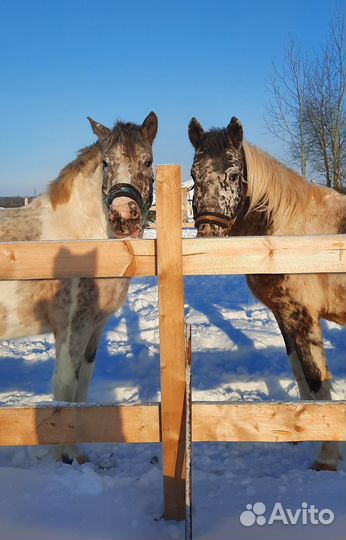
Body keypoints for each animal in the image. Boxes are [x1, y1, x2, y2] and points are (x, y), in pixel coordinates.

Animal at [0, 112, 158, 462]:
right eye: (107, 162)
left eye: (148, 161)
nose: (123, 217)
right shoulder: (72, 327)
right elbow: (65, 389)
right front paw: (67, 454)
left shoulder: (95, 327)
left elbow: (82, 389)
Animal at [189, 116, 346, 470]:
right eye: (193, 175)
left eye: (233, 174)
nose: (208, 234)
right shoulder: (282, 314)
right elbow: (299, 372)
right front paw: (300, 429)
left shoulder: (302, 315)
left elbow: (316, 378)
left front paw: (327, 456)